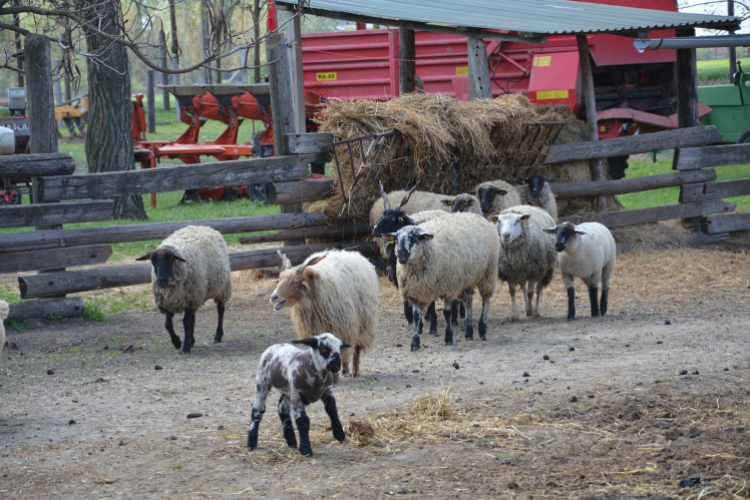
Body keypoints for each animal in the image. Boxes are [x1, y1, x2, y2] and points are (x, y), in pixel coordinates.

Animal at [137, 225, 232, 354]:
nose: (161, 281)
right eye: (152, 260)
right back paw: (192, 340)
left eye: (170, 259)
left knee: (220, 311)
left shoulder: (190, 298)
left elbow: (186, 321)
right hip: (196, 294)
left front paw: (185, 347)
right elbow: (168, 324)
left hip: (221, 288)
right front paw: (177, 342)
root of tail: (204, 226)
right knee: (193, 317)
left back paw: (218, 336)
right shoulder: (168, 301)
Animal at [270, 248, 378, 376]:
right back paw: (344, 368)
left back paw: (354, 371)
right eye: (279, 280)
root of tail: (352, 253)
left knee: (357, 347)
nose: (273, 297)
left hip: (364, 320)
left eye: (294, 282)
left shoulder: (339, 326)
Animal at [388, 213, 500, 350]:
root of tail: (477, 215)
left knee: (485, 300)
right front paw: (415, 342)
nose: (400, 253)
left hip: (488, 272)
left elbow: (447, 313)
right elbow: (416, 316)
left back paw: (482, 329)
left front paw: (449, 338)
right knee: (468, 301)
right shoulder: (415, 292)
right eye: (396, 239)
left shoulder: (448, 289)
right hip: (461, 281)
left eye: (414, 237)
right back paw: (468, 332)